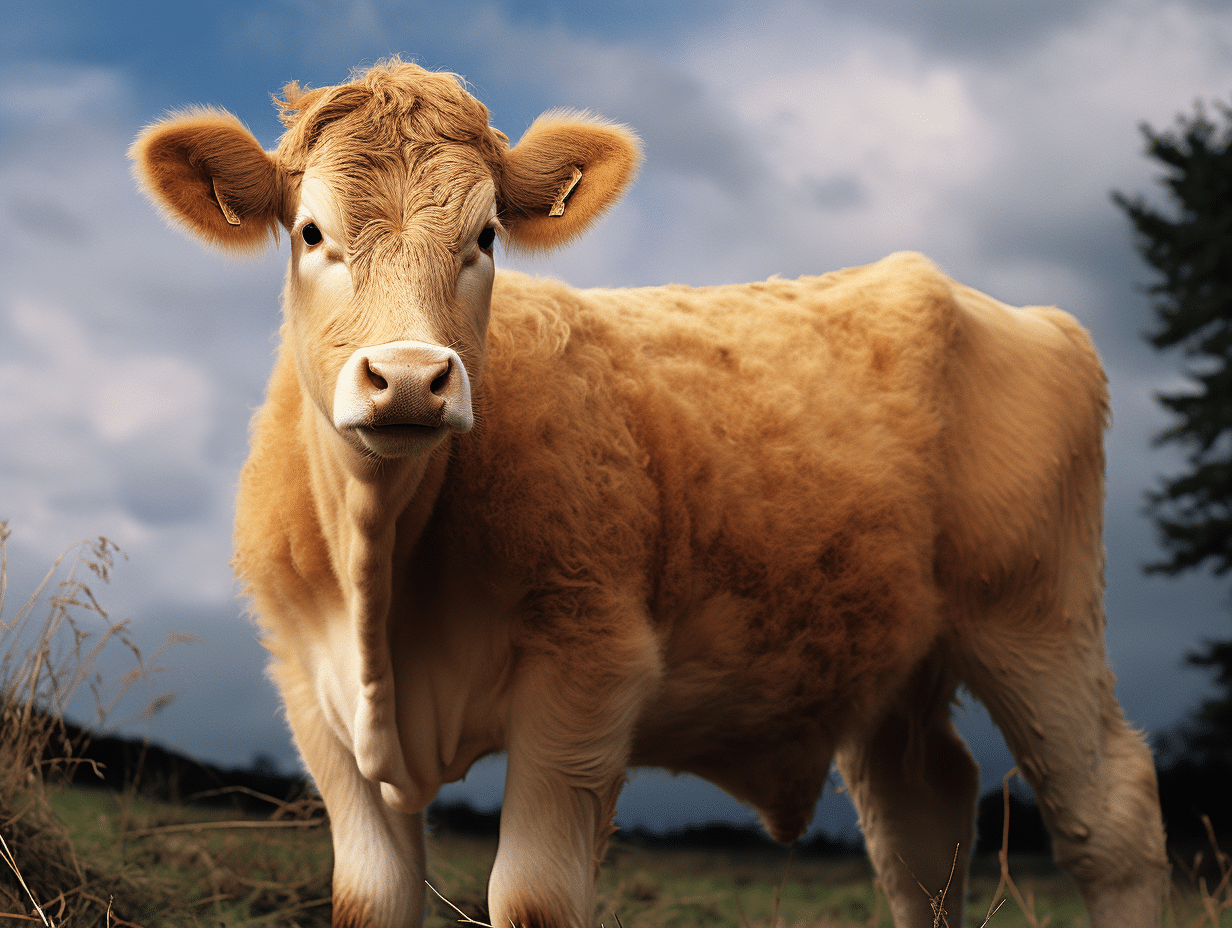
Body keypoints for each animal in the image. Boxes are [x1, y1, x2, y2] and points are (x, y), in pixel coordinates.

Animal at [130, 59, 1167, 928]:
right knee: (921, 831)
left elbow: (534, 898)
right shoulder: (313, 695)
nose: (413, 379)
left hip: (1037, 613)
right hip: (897, 656)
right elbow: (371, 900)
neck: (382, 566)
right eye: (312, 233)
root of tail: (1022, 313)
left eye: (485, 236)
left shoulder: (589, 674)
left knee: (1108, 816)